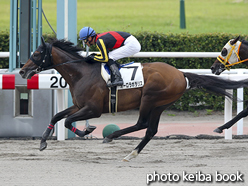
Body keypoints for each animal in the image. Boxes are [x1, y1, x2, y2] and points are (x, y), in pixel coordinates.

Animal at [19, 36, 248, 161]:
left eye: (37, 54)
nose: (22, 71)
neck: (82, 73)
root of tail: (181, 74)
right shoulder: (78, 105)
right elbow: (57, 116)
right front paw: (43, 141)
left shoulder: (93, 109)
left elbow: (67, 121)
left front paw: (87, 131)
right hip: (160, 104)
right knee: (150, 129)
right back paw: (131, 153)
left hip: (150, 98)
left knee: (142, 123)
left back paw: (112, 135)